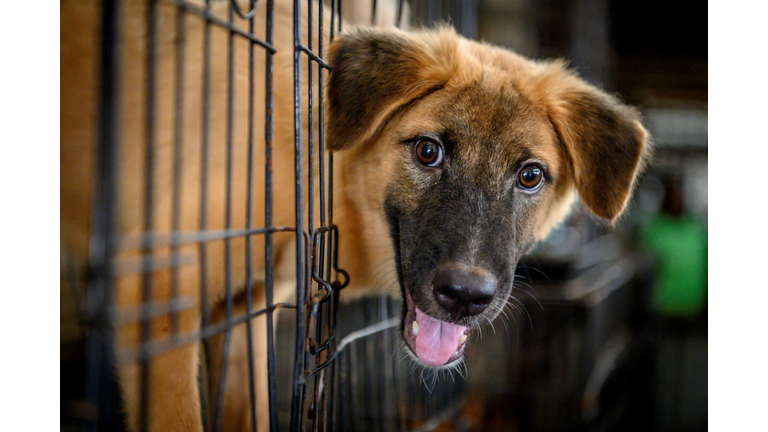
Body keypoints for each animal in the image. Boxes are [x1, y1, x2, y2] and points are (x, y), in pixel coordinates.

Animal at [61, 1, 648, 430]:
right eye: (428, 151)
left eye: (530, 176)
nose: (465, 296)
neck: (300, 142)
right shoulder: (161, 299)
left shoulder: (245, 308)